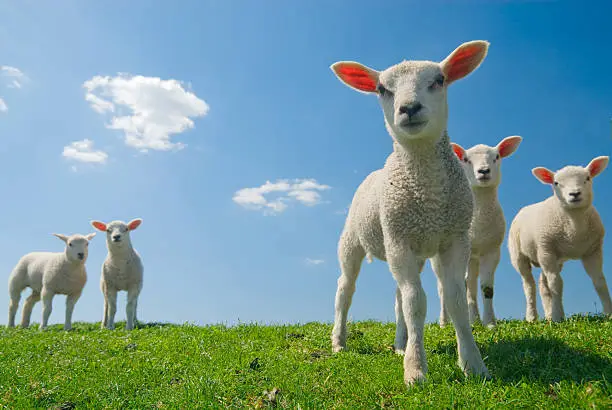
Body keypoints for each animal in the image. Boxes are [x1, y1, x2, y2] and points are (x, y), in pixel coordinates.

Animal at [330, 38, 492, 384]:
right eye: (381, 89)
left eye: (439, 80)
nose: (409, 108)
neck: (428, 195)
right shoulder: (398, 240)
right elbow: (416, 303)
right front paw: (416, 370)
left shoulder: (455, 239)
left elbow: (454, 300)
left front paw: (473, 363)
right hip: (354, 240)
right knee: (345, 290)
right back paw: (339, 342)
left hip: (412, 249)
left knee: (398, 297)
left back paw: (400, 344)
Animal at [438, 136, 524, 328]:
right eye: (465, 159)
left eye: (497, 156)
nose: (483, 171)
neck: (478, 222)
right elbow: (459, 286)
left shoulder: (492, 251)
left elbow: (486, 288)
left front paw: (490, 323)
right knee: (443, 287)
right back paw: (445, 322)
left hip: (474, 259)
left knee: (470, 283)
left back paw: (475, 319)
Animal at [506, 155, 612, 322]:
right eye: (556, 183)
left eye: (587, 178)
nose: (575, 194)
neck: (574, 228)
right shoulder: (546, 249)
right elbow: (556, 284)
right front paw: (557, 317)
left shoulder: (593, 251)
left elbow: (599, 281)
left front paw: (609, 313)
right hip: (520, 254)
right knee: (529, 285)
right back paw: (532, 317)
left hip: (550, 257)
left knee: (543, 284)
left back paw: (548, 314)